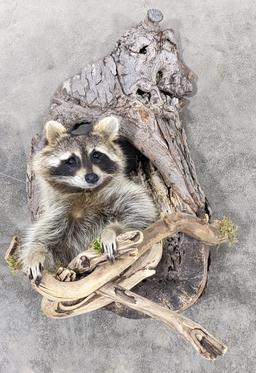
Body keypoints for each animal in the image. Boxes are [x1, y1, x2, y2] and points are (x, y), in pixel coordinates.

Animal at [20, 116, 156, 284]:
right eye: (71, 160)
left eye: (96, 155)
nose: (92, 177)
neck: (84, 192)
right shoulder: (57, 215)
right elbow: (44, 242)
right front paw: (36, 253)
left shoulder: (125, 195)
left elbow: (140, 216)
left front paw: (111, 230)